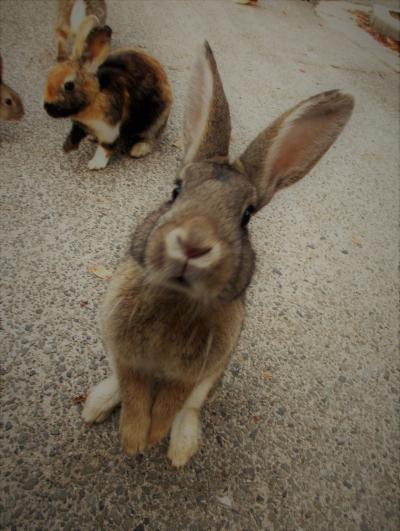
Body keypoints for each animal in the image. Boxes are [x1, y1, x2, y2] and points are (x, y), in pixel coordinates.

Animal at [43, 15, 172, 170]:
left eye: (68, 85)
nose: (47, 107)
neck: (94, 97)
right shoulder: (79, 125)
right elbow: (75, 133)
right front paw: (67, 147)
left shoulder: (110, 129)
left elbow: (105, 147)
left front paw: (94, 164)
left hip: (156, 120)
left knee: (150, 137)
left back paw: (138, 150)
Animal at [81, 41, 354, 466]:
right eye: (175, 190)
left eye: (247, 216)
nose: (193, 244)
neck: (176, 298)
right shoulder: (127, 356)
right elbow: (135, 394)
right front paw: (133, 441)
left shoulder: (194, 372)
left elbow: (171, 403)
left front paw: (153, 439)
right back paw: (95, 408)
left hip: (214, 377)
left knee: (191, 408)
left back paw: (180, 449)